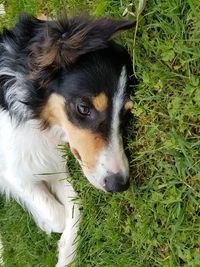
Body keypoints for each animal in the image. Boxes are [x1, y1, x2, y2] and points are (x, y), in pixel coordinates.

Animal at [0, 13, 134, 267]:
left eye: (126, 113)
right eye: (83, 108)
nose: (119, 185)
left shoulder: (52, 163)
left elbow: (76, 206)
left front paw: (66, 252)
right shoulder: (11, 165)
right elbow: (56, 215)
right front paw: (50, 226)